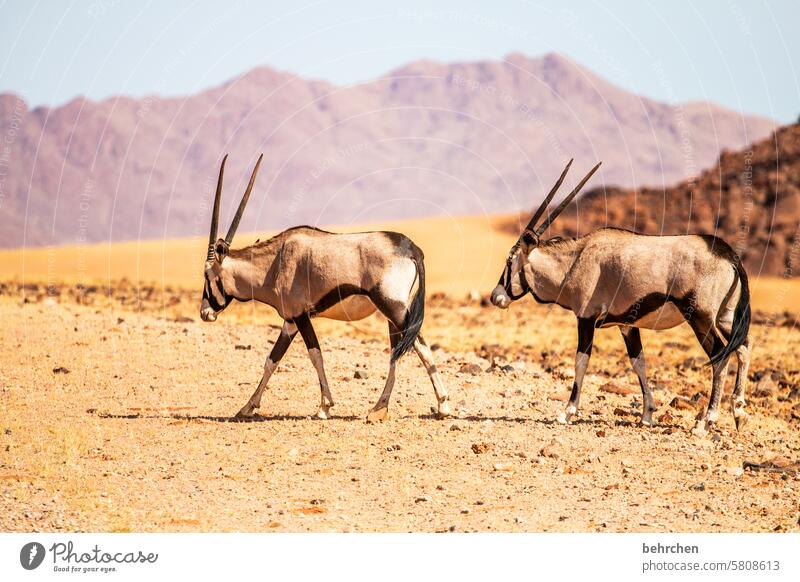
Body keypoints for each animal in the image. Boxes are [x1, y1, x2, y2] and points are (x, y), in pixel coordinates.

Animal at [200, 154, 450, 424]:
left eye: (207, 275)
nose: (205, 313)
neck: (275, 262)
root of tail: (412, 248)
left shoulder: (300, 316)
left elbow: (315, 355)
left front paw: (324, 406)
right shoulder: (290, 321)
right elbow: (272, 360)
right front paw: (247, 407)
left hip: (394, 309)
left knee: (420, 346)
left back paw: (442, 405)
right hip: (391, 315)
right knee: (397, 351)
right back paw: (379, 408)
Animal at [490, 159, 752, 434]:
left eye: (509, 261)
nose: (496, 296)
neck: (575, 261)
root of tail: (729, 255)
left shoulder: (586, 318)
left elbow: (581, 361)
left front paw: (567, 412)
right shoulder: (626, 325)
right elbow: (639, 362)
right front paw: (647, 414)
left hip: (700, 318)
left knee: (720, 355)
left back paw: (706, 421)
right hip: (725, 317)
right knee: (743, 347)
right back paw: (739, 412)